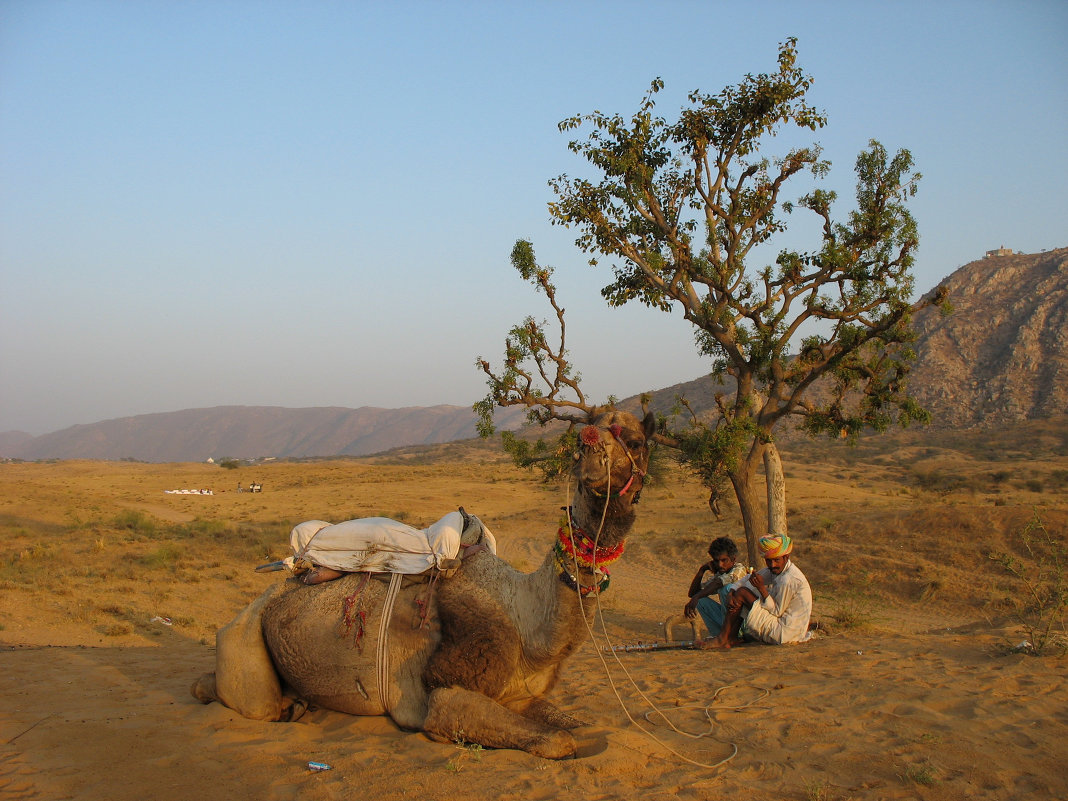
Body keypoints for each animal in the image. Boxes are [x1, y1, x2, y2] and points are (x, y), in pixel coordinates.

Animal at [194, 407, 657, 760]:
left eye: (636, 441)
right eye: (584, 433)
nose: (590, 451)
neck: (530, 627)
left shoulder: (521, 696)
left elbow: (580, 724)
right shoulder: (444, 693)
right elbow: (559, 741)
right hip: (246, 636)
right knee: (249, 700)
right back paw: (283, 706)